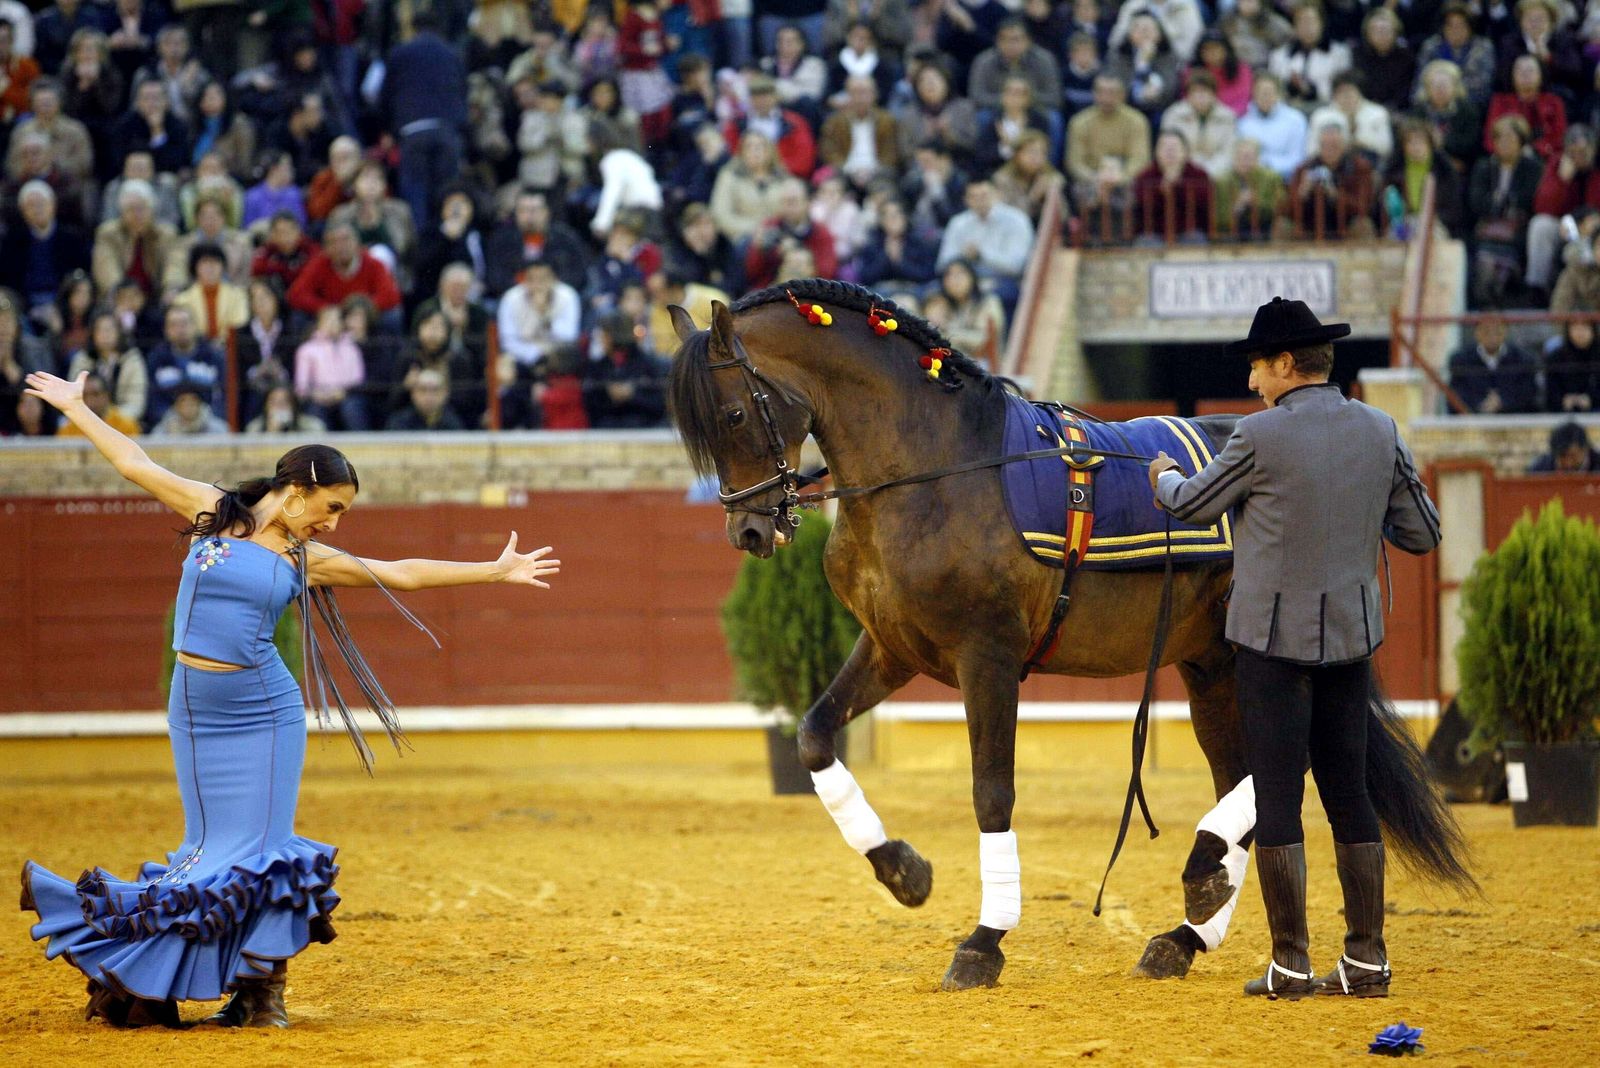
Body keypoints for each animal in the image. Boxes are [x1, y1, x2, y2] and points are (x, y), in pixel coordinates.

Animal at [666, 278, 1474, 991]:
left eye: (732, 416)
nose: (750, 530)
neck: (935, 469)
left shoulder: (986, 657)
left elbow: (992, 791)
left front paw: (983, 944)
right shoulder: (893, 649)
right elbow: (813, 736)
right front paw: (904, 871)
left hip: (1254, 658)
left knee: (1283, 766)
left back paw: (1201, 887)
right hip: (1210, 668)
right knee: (1246, 779)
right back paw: (1188, 929)